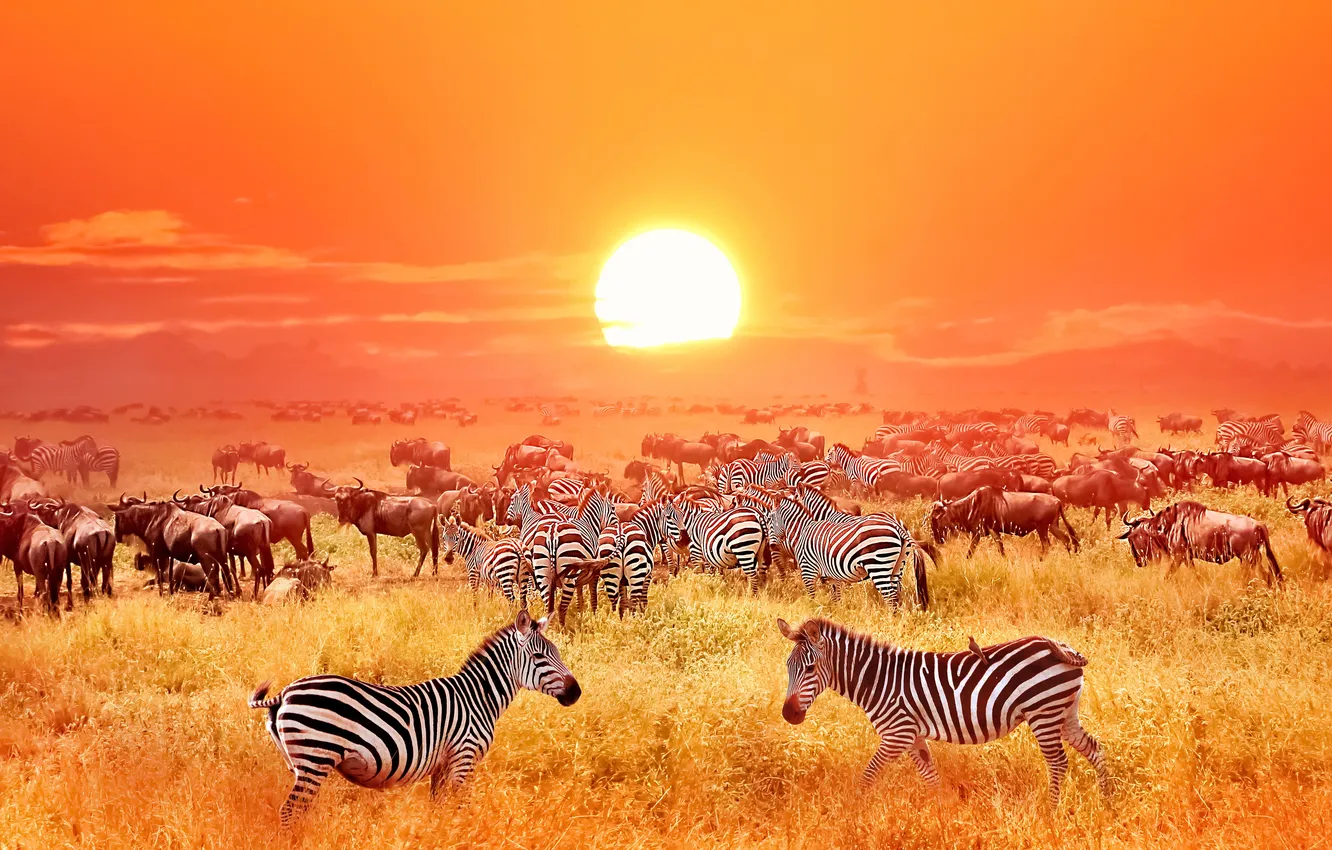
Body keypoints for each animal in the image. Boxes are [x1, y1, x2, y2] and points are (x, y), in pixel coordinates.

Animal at [249, 611, 580, 826]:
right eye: (539, 657)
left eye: (557, 652)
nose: (576, 692)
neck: (478, 696)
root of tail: (286, 692)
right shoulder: (465, 757)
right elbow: (462, 808)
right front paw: (462, 833)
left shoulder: (443, 764)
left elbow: (438, 809)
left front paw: (438, 835)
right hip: (315, 759)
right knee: (289, 812)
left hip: (299, 764)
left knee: (297, 811)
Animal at [768, 490, 929, 609]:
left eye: (770, 520)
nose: (771, 546)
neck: (803, 529)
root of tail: (896, 524)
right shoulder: (833, 576)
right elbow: (836, 598)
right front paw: (837, 615)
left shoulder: (808, 571)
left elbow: (812, 596)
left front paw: (815, 612)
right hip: (898, 565)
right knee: (896, 594)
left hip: (878, 564)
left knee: (890, 596)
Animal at [777, 617, 1108, 807]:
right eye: (788, 667)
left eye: (809, 668)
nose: (788, 715)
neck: (878, 680)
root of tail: (1062, 646)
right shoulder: (912, 736)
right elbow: (930, 776)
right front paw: (943, 813)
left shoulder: (897, 734)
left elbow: (868, 775)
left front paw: (853, 812)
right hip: (1064, 712)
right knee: (1095, 748)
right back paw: (1109, 800)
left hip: (1044, 712)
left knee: (1058, 763)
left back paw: (1051, 811)